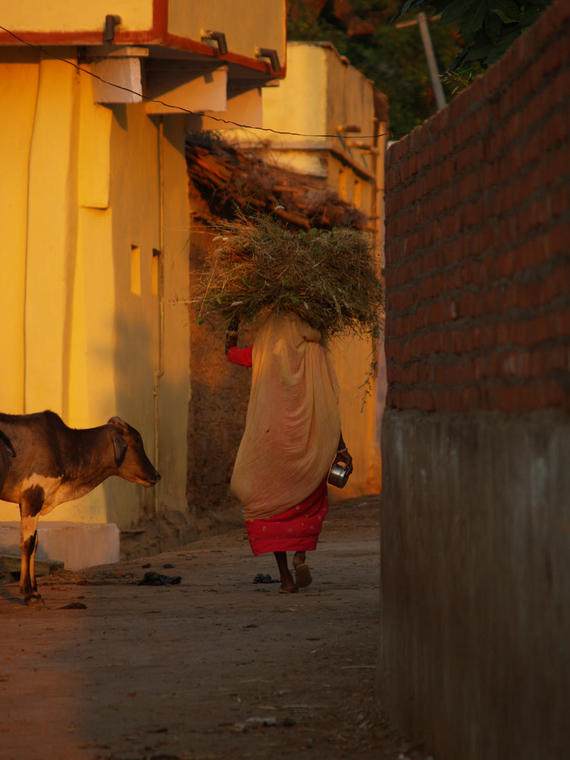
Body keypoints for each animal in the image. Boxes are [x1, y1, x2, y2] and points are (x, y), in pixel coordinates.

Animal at [0, 411, 160, 603]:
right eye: (136, 440)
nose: (156, 475)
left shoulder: (27, 501)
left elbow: (35, 543)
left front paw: (35, 591)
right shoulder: (32, 496)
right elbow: (28, 543)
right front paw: (28, 592)